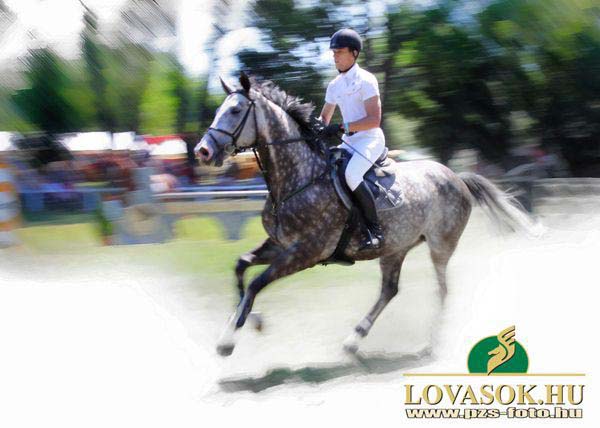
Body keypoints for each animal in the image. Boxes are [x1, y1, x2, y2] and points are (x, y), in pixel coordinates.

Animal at [195, 73, 541, 357]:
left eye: (235, 111)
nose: (203, 151)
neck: (296, 178)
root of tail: (456, 176)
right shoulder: (279, 244)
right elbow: (241, 267)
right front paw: (247, 320)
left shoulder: (305, 252)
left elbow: (256, 283)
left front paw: (229, 339)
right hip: (396, 247)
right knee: (390, 290)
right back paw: (354, 339)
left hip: (440, 247)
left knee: (442, 290)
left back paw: (432, 342)